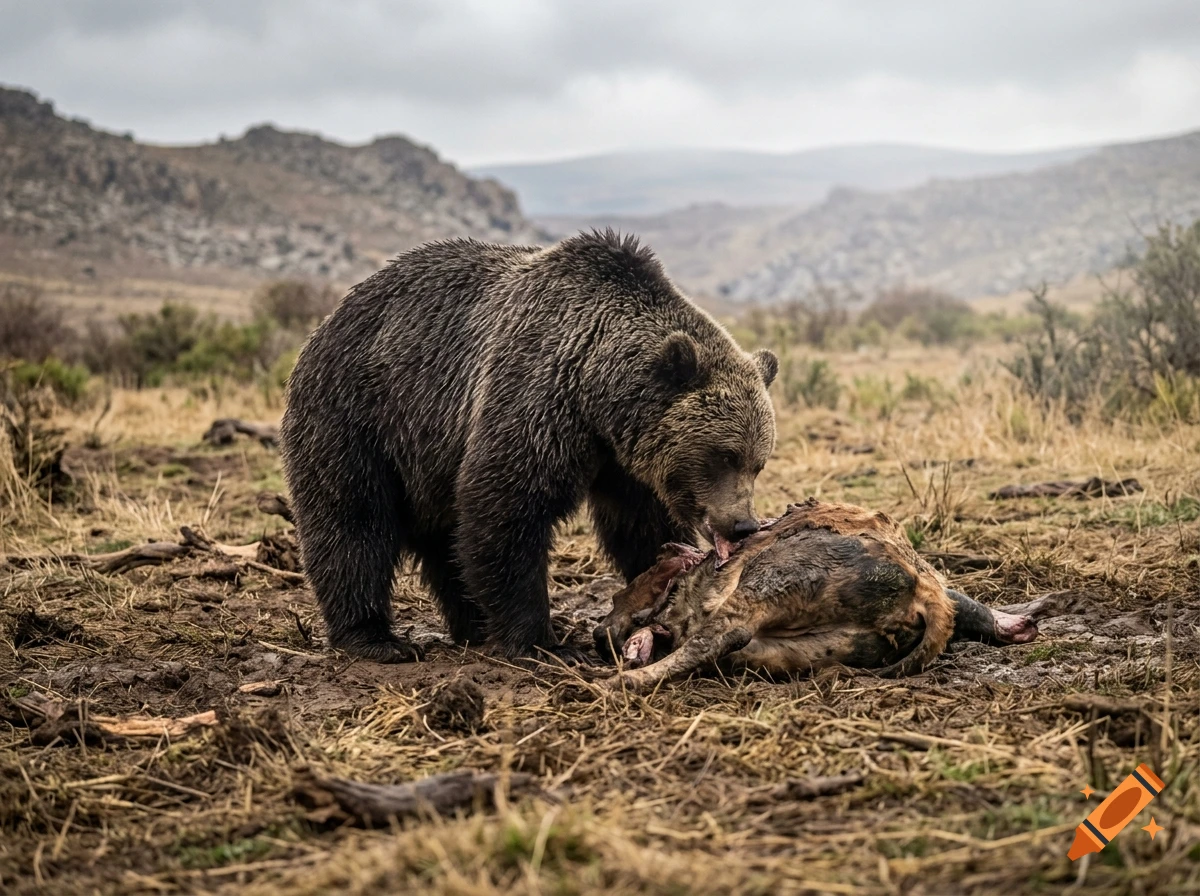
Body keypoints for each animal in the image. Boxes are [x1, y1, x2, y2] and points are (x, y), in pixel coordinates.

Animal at [279, 230, 778, 663]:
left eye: (758, 462)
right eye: (724, 455)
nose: (742, 525)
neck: (597, 394)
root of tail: (329, 320)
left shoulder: (622, 455)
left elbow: (639, 522)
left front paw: (667, 575)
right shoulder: (537, 397)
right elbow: (507, 508)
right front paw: (544, 640)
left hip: (428, 454)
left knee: (444, 539)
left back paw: (473, 623)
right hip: (359, 417)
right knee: (352, 523)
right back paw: (375, 638)